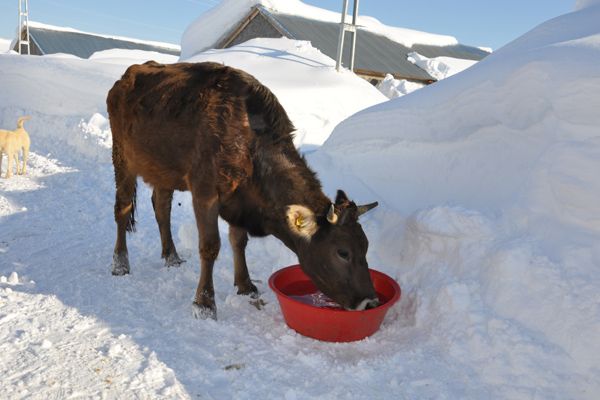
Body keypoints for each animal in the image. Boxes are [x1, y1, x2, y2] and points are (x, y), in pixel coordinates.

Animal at [107, 61, 378, 318]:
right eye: (342, 252)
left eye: (365, 246)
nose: (370, 301)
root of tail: (126, 77)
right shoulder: (205, 191)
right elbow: (210, 246)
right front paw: (205, 304)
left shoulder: (238, 200)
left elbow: (239, 241)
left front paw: (245, 285)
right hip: (122, 156)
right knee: (123, 207)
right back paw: (120, 264)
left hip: (163, 169)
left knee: (162, 207)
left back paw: (171, 257)